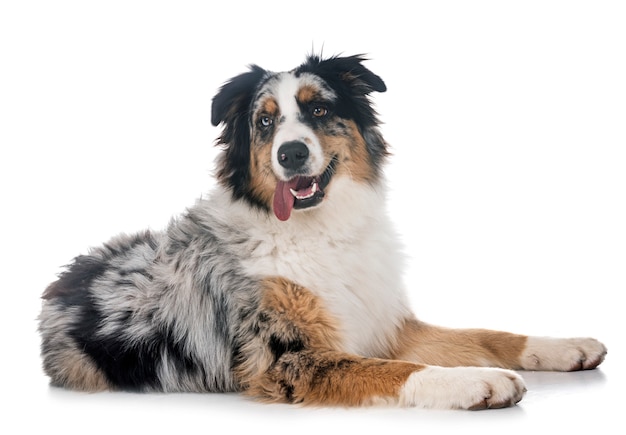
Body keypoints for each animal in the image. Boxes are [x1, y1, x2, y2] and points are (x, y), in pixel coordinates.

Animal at [39, 52, 604, 410]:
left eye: (318, 109)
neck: (322, 230)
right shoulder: (291, 360)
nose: (291, 153)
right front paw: (480, 381)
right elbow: (396, 371)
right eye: (265, 122)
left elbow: (486, 334)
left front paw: (566, 347)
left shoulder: (387, 324)